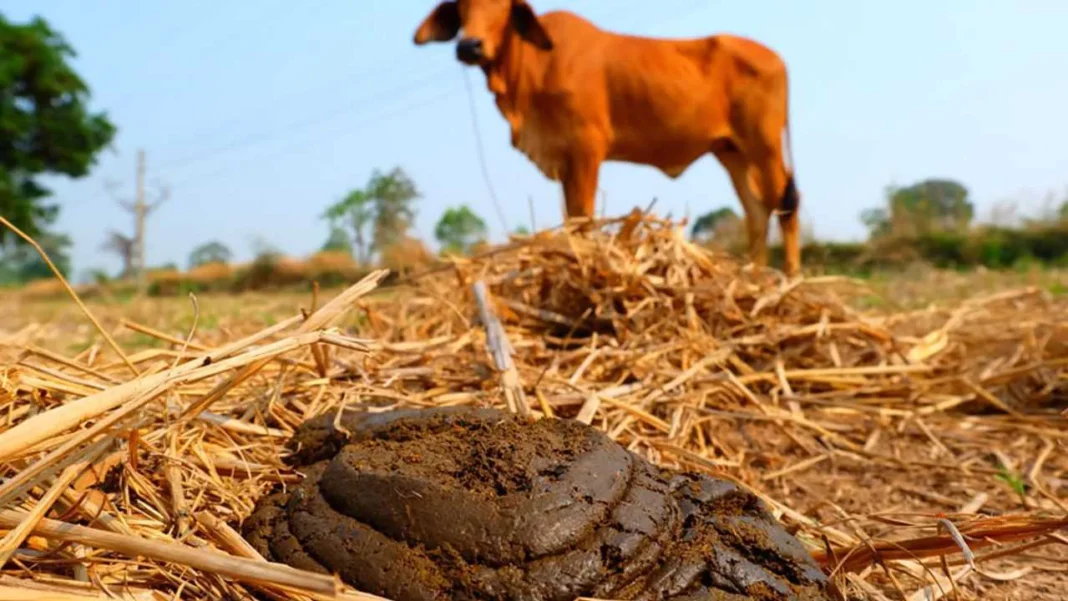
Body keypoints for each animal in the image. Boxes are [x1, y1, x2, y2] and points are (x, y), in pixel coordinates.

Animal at [414, 0, 803, 276]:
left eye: (502, 5)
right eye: (462, 4)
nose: (469, 45)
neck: (531, 70)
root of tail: (777, 58)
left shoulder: (586, 149)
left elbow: (583, 219)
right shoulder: (565, 159)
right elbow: (572, 219)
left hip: (764, 145)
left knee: (785, 203)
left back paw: (791, 277)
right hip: (731, 152)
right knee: (757, 211)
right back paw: (754, 277)